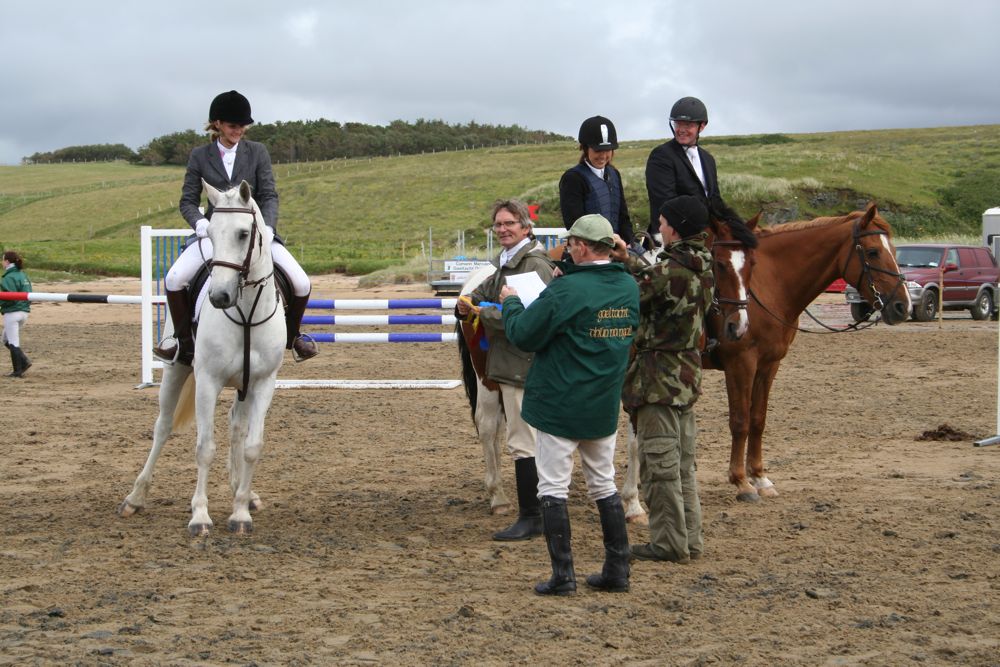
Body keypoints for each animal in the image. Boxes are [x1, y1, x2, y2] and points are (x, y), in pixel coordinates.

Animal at [119, 180, 286, 536]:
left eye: (243, 234)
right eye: (208, 232)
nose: (219, 297)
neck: (246, 312)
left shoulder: (263, 382)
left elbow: (252, 446)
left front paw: (240, 512)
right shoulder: (208, 380)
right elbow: (204, 448)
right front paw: (200, 516)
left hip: (244, 386)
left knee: (236, 428)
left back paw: (243, 493)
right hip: (176, 370)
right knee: (163, 427)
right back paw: (135, 498)